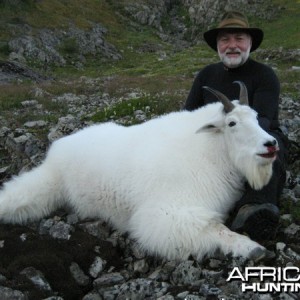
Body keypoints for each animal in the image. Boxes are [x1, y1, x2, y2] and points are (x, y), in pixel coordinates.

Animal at [0, 81, 278, 260]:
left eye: (255, 117)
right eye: (232, 123)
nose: (271, 144)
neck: (211, 151)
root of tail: (58, 147)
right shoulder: (167, 213)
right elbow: (215, 228)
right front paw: (252, 247)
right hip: (50, 182)